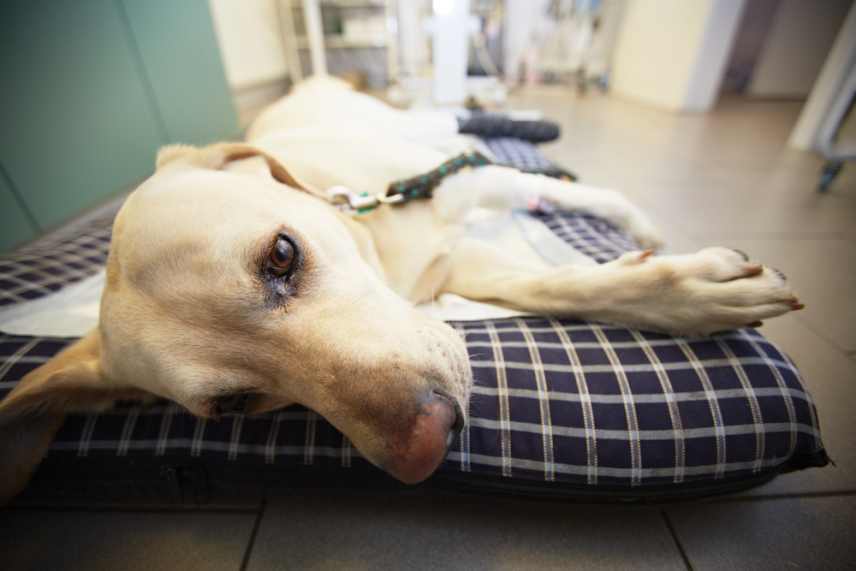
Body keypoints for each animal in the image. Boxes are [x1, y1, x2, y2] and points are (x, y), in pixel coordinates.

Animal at [0, 78, 804, 502]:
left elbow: (580, 201)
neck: (375, 233)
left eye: (282, 255)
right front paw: (681, 292)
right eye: (234, 407)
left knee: (472, 127)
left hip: (435, 136)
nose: (427, 444)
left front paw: (655, 241)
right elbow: (566, 283)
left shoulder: (470, 184)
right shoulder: (456, 266)